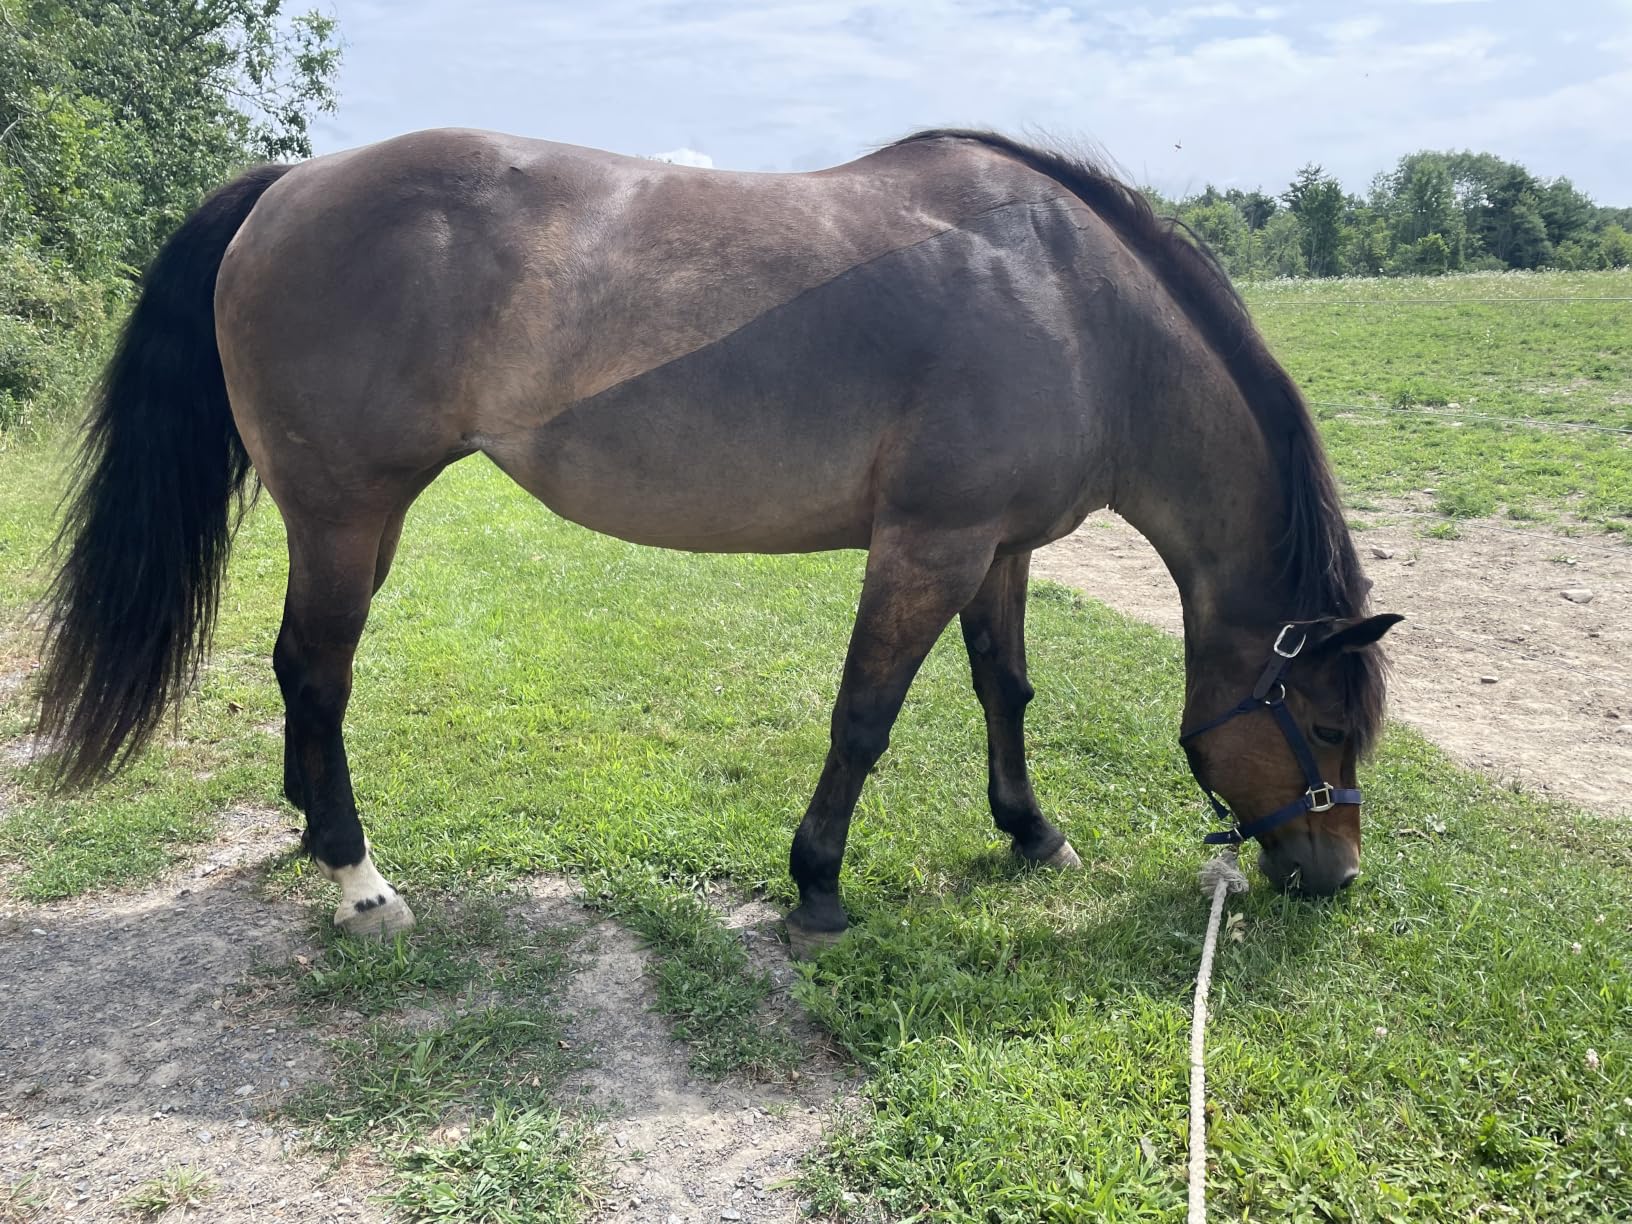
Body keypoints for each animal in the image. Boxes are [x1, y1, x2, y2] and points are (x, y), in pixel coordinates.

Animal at [34, 128, 1399, 956]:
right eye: (1326, 723)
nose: (1336, 875)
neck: (1073, 309)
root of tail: (290, 183)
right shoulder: (929, 544)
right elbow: (866, 716)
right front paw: (819, 888)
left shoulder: (1000, 550)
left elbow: (1003, 689)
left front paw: (1030, 831)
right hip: (344, 513)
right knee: (319, 676)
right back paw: (359, 881)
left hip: (356, 522)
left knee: (296, 674)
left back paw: (310, 827)